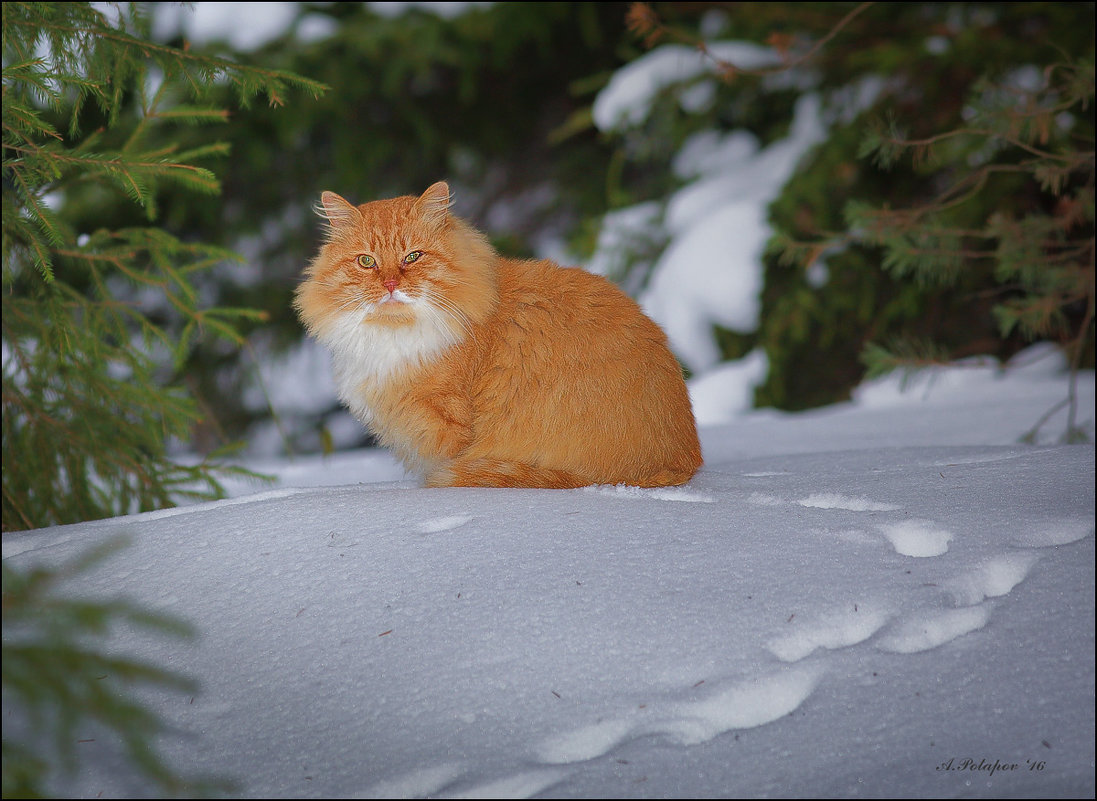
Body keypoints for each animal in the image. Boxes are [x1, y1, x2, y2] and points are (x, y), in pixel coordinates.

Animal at [293, 181, 702, 487]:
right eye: (366, 262)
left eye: (413, 257)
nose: (391, 284)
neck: (394, 337)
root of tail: (683, 459)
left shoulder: (447, 427)